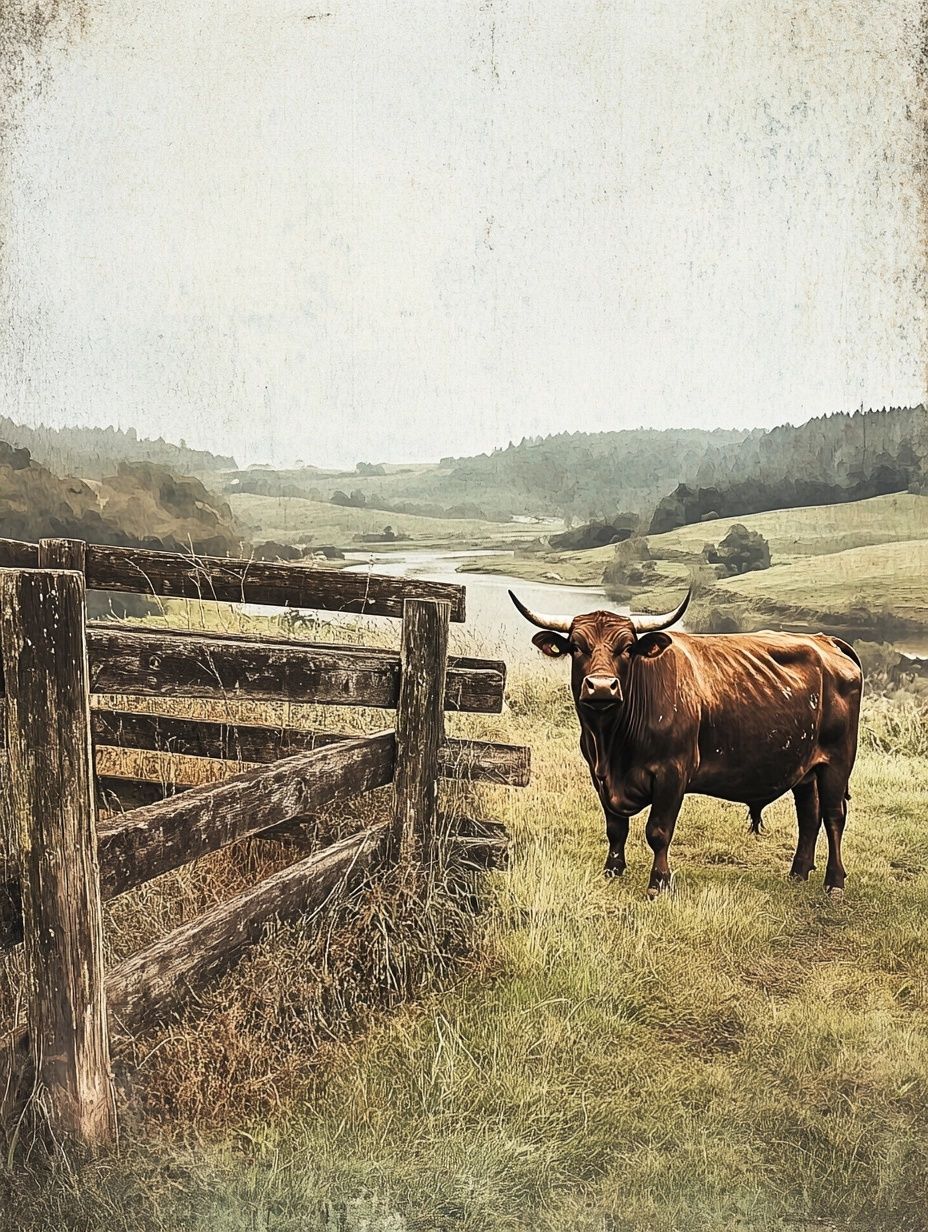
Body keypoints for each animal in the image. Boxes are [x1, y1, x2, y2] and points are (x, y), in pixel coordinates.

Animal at [509, 588, 863, 898]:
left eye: (627, 648)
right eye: (577, 646)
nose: (601, 687)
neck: (611, 745)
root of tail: (823, 640)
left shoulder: (672, 773)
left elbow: (658, 831)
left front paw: (659, 882)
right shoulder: (599, 775)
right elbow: (615, 827)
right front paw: (613, 869)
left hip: (837, 761)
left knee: (833, 816)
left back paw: (834, 882)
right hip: (804, 767)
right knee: (809, 815)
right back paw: (798, 872)